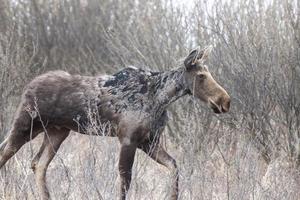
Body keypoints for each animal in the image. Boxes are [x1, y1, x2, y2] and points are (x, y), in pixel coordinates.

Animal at [0, 46, 231, 199]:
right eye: (201, 76)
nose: (225, 101)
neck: (161, 99)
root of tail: (28, 86)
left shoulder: (149, 141)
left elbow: (174, 167)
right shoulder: (128, 139)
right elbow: (125, 181)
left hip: (57, 132)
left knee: (38, 164)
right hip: (26, 124)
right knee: (6, 153)